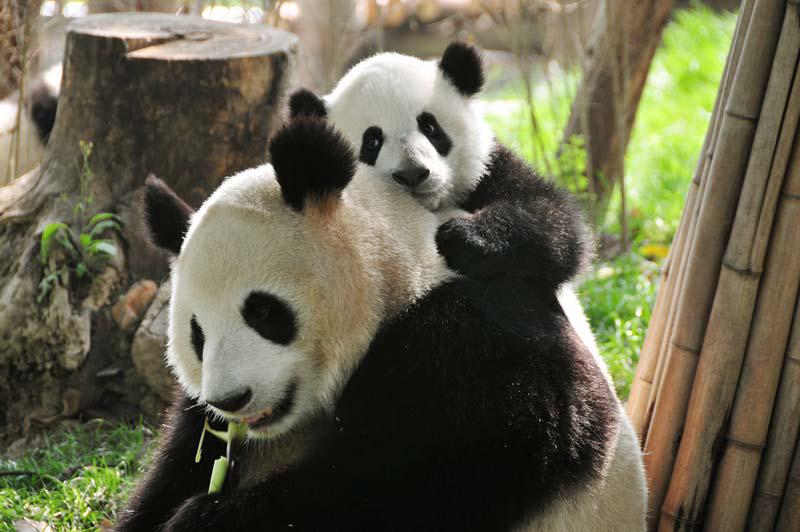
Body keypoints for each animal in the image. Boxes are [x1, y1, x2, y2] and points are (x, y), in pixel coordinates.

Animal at [119, 118, 646, 531]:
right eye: (197, 334)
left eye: (263, 312)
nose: (231, 399)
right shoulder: (202, 426)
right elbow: (177, 474)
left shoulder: (475, 350)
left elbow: (403, 484)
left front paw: (205, 520)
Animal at [287, 42, 603, 364]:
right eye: (372, 141)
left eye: (430, 127)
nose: (412, 174)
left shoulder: (489, 170)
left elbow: (555, 225)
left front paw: (467, 237)